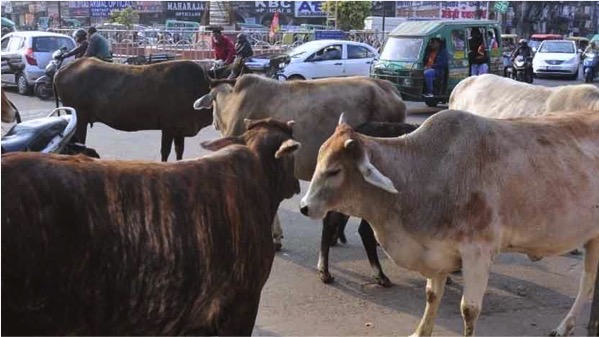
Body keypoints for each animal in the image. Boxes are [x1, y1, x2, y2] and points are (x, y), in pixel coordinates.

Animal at [53, 57, 213, 161]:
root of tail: (60, 71)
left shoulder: (180, 129)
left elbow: (179, 152)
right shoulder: (168, 127)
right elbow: (165, 152)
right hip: (80, 118)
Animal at [302, 109, 599, 334]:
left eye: (334, 171)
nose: (304, 207)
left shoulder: (478, 252)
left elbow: (469, 310)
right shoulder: (437, 251)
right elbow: (432, 296)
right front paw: (420, 331)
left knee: (586, 283)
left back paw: (565, 326)